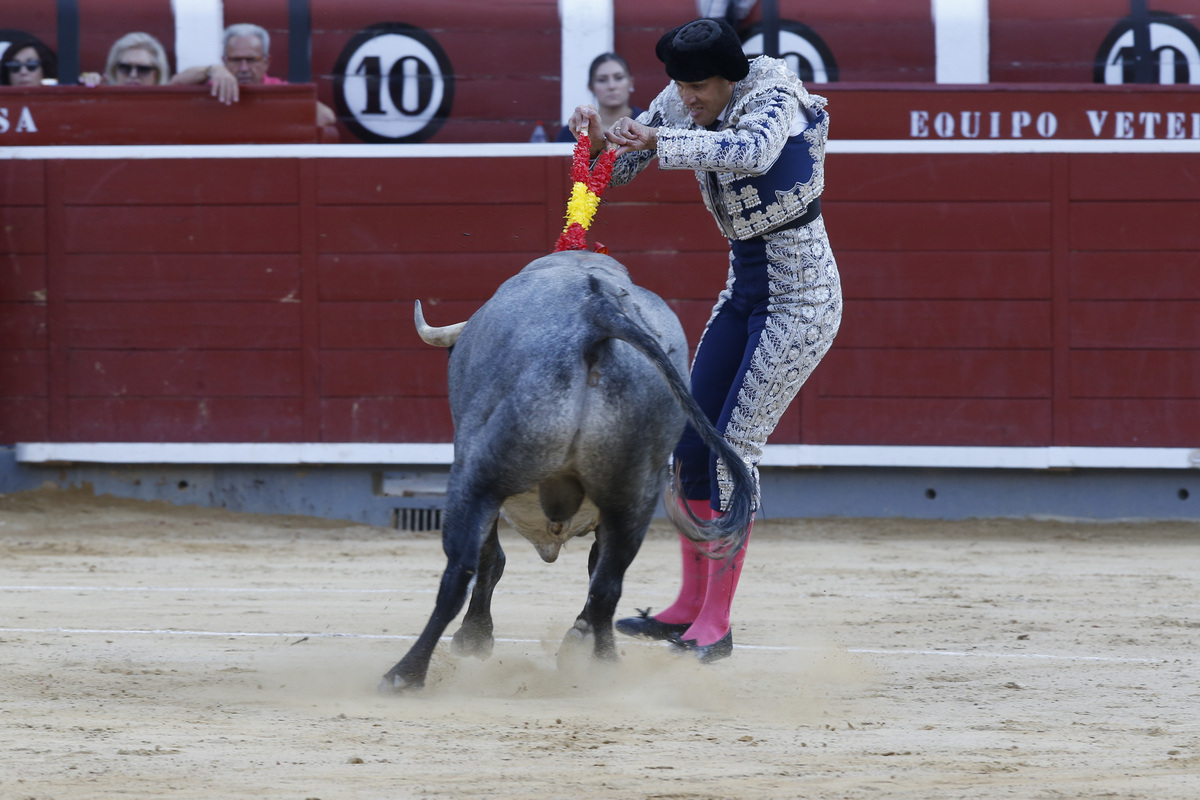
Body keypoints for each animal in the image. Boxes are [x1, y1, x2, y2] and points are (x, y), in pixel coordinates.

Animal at [379, 251, 748, 695]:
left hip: (479, 475)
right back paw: (600, 664)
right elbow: (594, 571)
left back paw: (405, 672)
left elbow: (490, 558)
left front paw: (474, 638)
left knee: (460, 571)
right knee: (608, 584)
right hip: (635, 492)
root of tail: (596, 309)